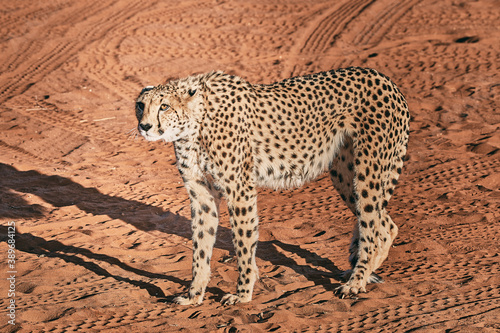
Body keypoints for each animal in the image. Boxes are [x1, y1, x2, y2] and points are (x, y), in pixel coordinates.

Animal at [135, 67, 408, 304]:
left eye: (164, 106)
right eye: (140, 106)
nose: (145, 126)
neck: (193, 125)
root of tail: (384, 79)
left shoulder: (239, 190)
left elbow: (243, 242)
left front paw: (243, 294)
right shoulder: (202, 194)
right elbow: (201, 246)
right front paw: (194, 295)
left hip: (367, 173)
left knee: (373, 226)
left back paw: (356, 282)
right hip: (344, 176)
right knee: (386, 225)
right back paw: (361, 274)